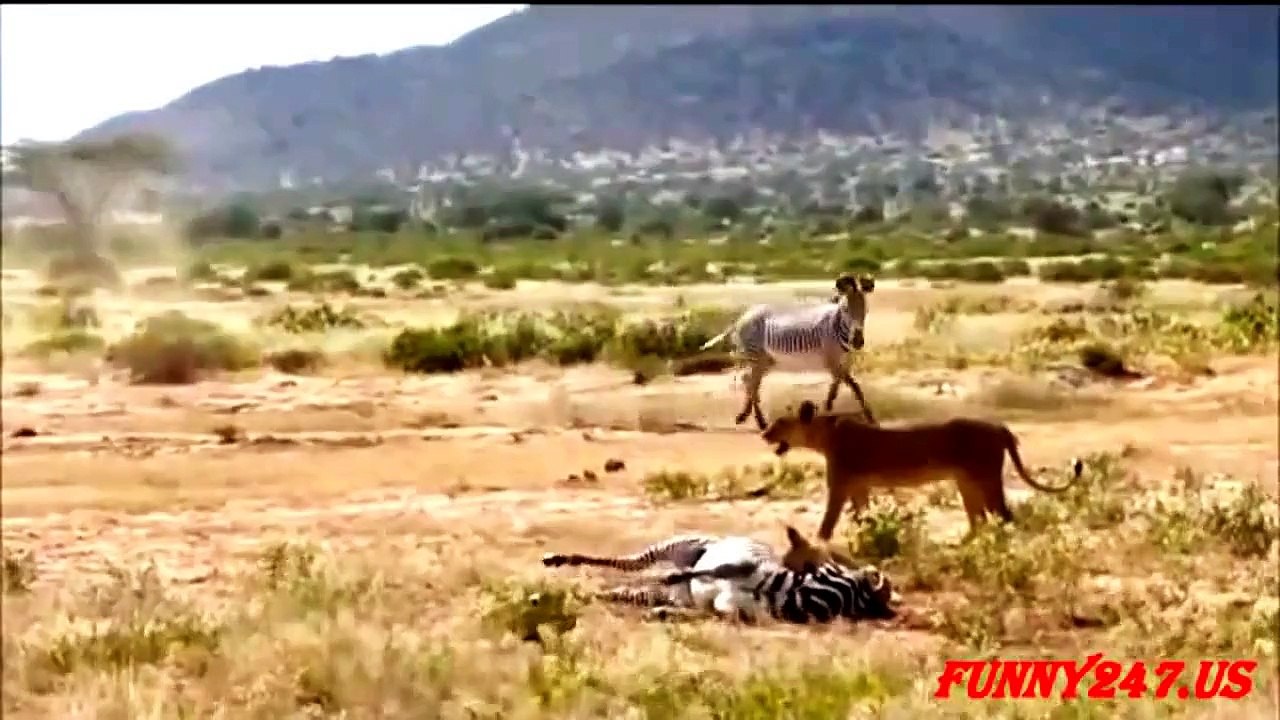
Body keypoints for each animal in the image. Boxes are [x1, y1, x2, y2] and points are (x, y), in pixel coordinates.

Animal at [758, 400, 1084, 541]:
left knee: (1003, 515)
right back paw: (964, 545)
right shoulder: (859, 486)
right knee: (978, 519)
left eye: (781, 422)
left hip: (987, 476)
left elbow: (828, 523)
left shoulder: (839, 486)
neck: (824, 435)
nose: (765, 433)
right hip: (966, 482)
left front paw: (820, 544)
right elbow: (863, 516)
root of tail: (999, 426)